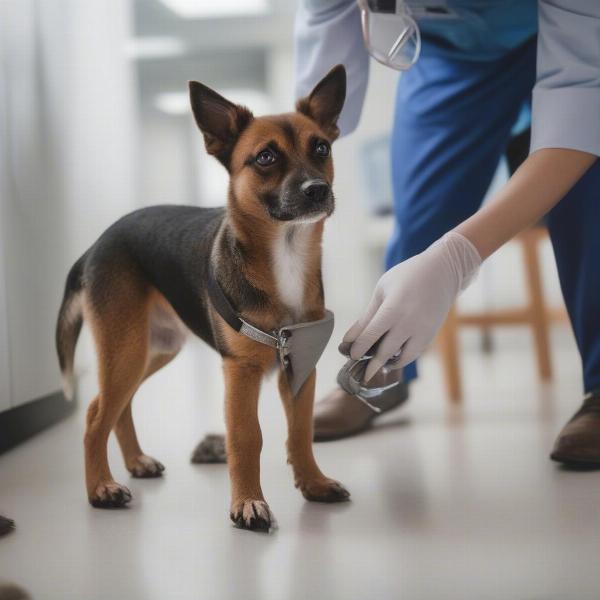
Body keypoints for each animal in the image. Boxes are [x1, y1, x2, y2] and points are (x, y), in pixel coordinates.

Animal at [55, 64, 352, 528]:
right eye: (265, 157)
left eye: (321, 147)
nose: (317, 189)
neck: (285, 253)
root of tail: (98, 243)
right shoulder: (240, 372)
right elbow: (247, 438)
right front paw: (247, 503)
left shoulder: (301, 369)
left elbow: (300, 433)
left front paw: (313, 483)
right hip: (124, 350)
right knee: (96, 414)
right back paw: (101, 487)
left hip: (152, 349)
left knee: (117, 406)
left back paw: (136, 461)